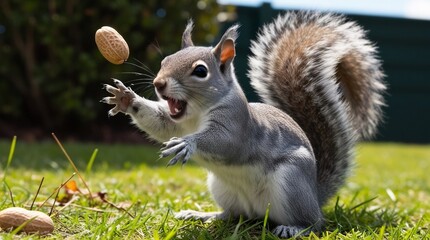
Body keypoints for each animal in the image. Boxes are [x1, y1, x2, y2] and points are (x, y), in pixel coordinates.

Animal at [101, 11, 386, 238]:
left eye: (201, 71)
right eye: (164, 61)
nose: (159, 84)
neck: (195, 114)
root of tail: (315, 195)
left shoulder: (237, 126)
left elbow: (225, 143)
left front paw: (188, 144)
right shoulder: (173, 123)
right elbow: (160, 125)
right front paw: (126, 99)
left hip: (292, 181)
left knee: (314, 224)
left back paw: (294, 228)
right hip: (222, 188)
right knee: (232, 214)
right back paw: (203, 215)